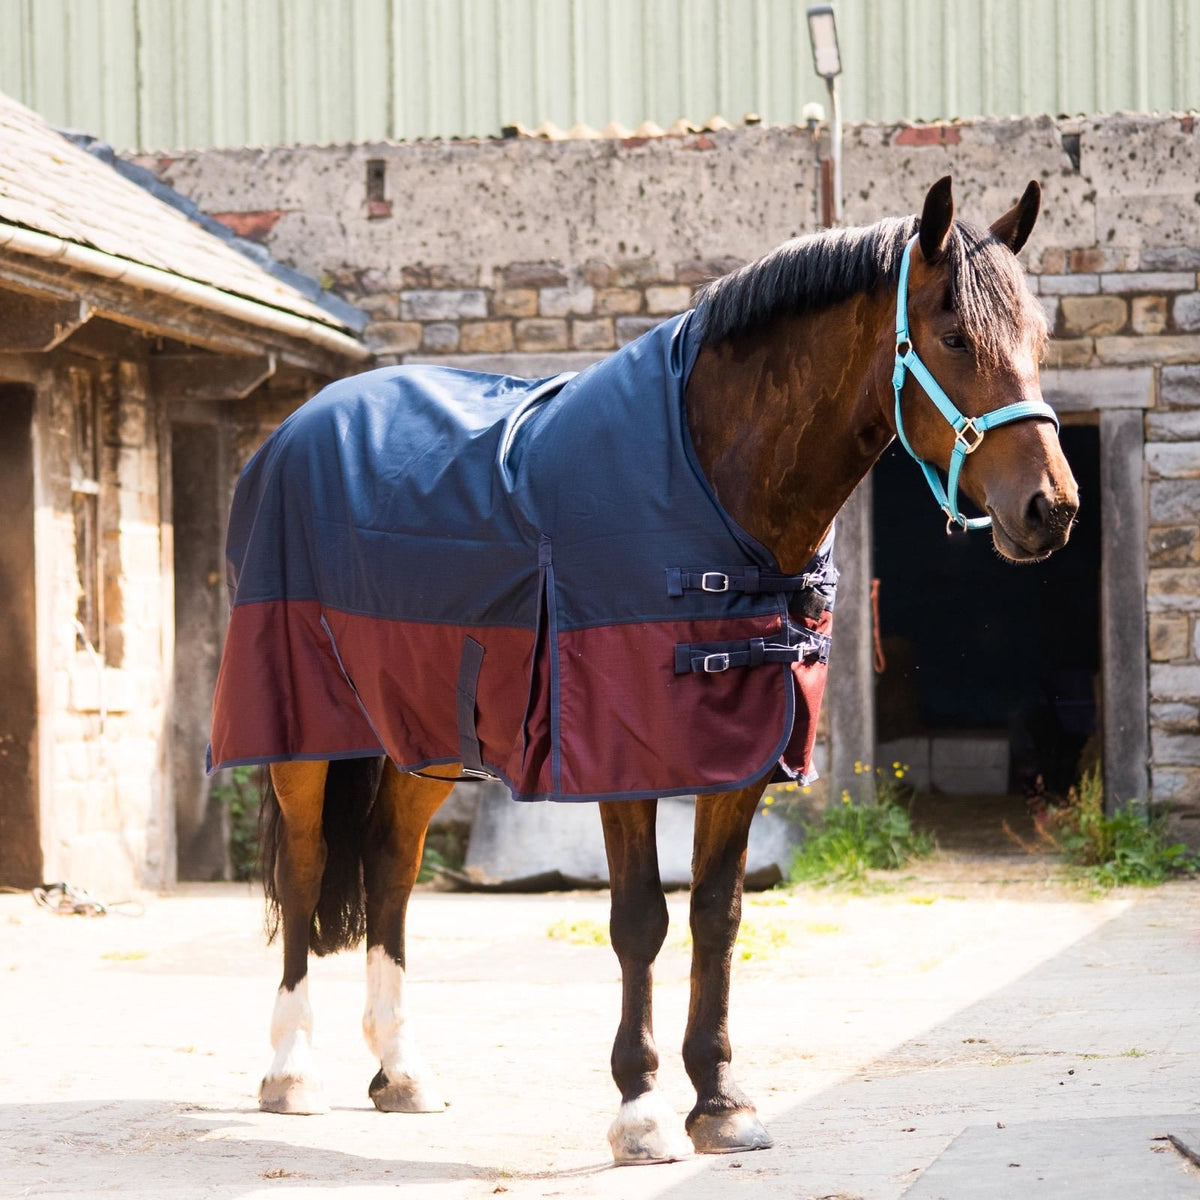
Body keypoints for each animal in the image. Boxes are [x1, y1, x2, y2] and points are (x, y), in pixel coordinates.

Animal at [224, 176, 1079, 1163]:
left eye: (1039, 341)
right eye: (954, 338)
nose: (1051, 508)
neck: (711, 480)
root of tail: (298, 425)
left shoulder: (742, 757)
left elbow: (717, 914)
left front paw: (722, 1102)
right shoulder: (618, 757)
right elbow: (640, 920)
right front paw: (639, 1111)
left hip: (423, 737)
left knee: (390, 869)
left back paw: (400, 1073)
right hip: (301, 732)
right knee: (306, 867)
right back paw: (290, 1072)